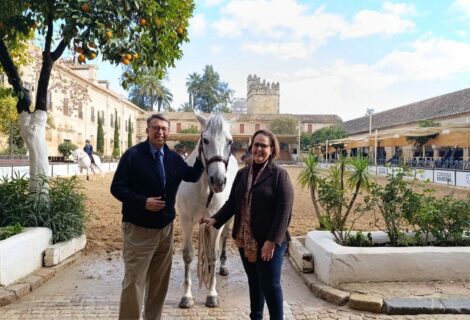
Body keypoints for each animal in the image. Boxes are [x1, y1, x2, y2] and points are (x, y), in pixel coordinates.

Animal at [176, 112, 239, 308]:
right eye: (205, 140)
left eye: (230, 141)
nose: (218, 181)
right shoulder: (186, 220)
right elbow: (188, 255)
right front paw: (186, 296)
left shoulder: (216, 222)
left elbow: (213, 254)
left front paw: (212, 294)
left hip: (227, 219)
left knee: (224, 240)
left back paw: (223, 267)